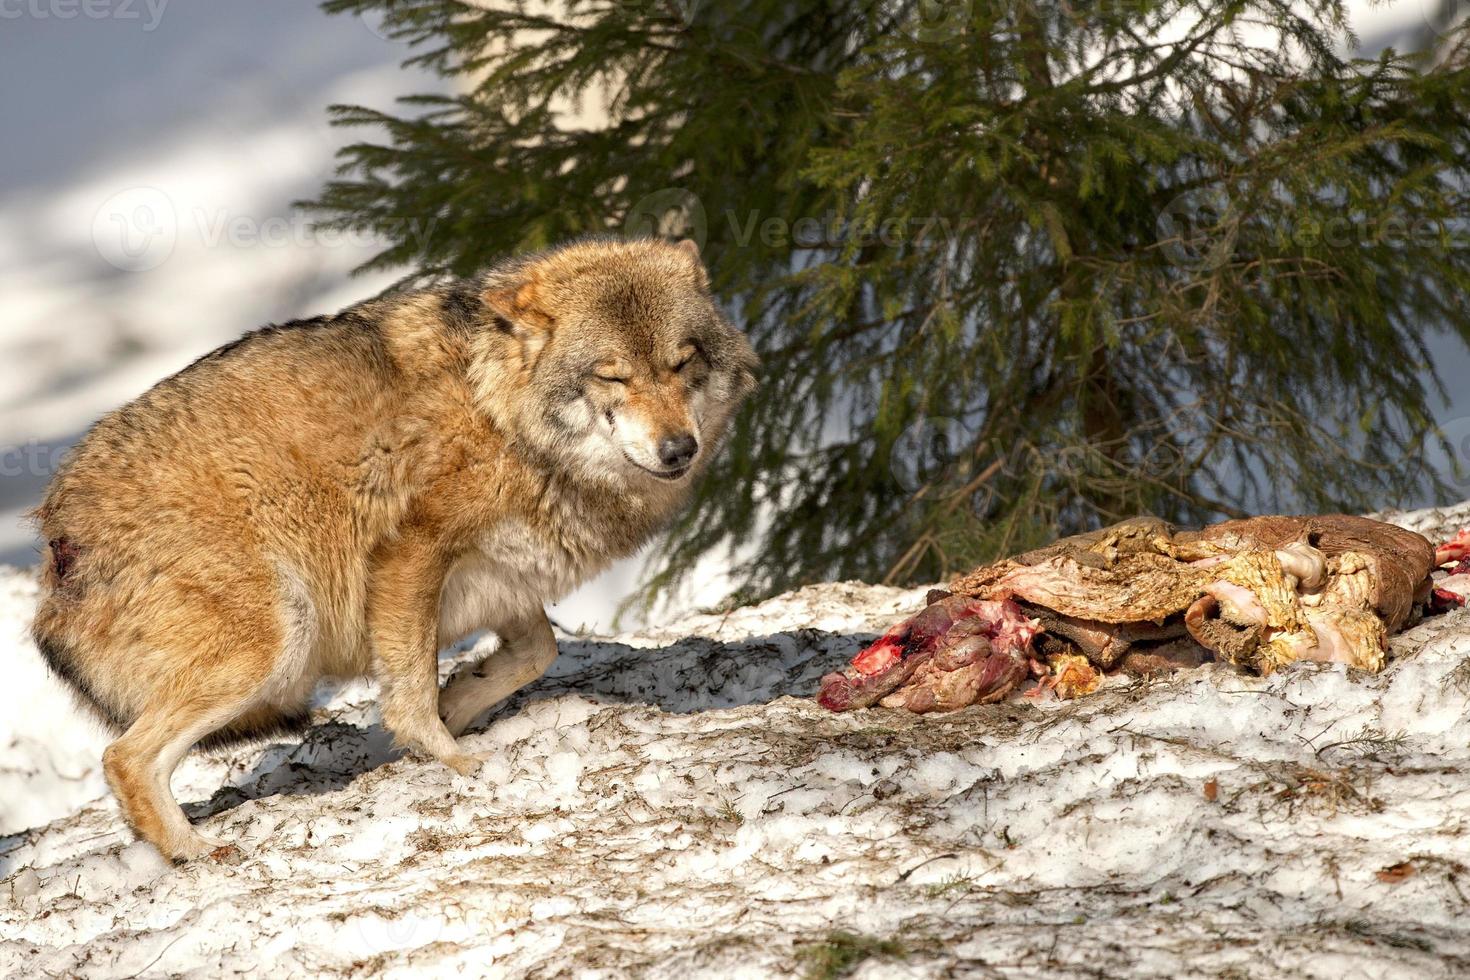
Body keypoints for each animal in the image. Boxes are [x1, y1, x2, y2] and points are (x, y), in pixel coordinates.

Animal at [28, 235, 758, 858]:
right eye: (614, 378)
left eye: (682, 363)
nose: (679, 449)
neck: (499, 414)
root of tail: (54, 534)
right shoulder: (410, 559)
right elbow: (411, 695)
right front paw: (459, 762)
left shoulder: (505, 576)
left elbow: (535, 654)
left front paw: (463, 700)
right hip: (275, 642)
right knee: (123, 759)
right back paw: (195, 852)